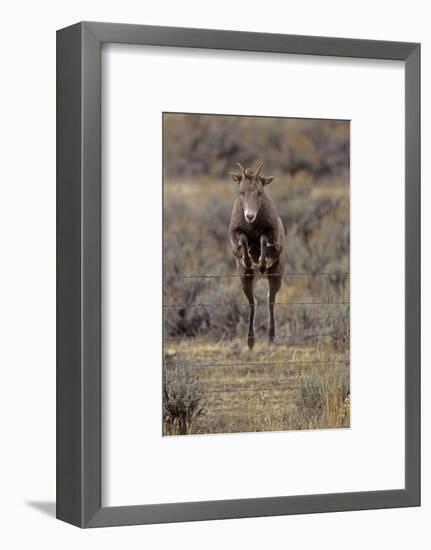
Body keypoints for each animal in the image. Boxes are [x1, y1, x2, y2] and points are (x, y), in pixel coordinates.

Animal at [230, 164, 286, 352]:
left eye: (260, 192)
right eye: (241, 191)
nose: (250, 216)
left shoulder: (269, 233)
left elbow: (262, 240)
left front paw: (260, 263)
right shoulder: (237, 233)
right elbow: (243, 240)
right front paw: (249, 261)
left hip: (275, 277)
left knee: (270, 301)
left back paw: (270, 339)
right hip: (246, 280)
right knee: (252, 303)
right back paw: (250, 342)